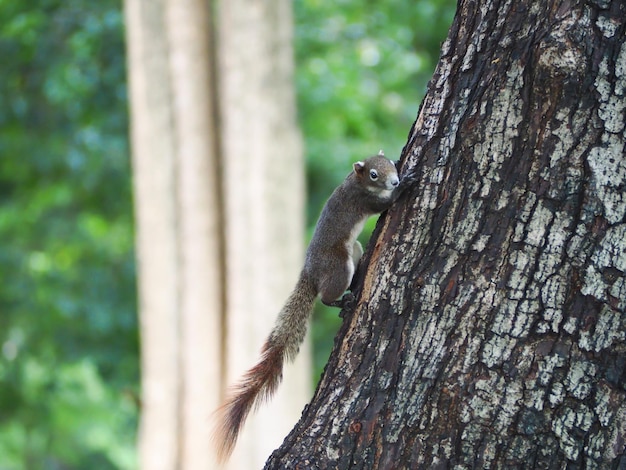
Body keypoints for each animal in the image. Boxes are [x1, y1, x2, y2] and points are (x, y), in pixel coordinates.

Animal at [212, 151, 412, 462]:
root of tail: (311, 273)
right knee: (326, 297)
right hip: (339, 266)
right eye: (374, 175)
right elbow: (386, 204)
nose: (394, 180)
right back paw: (344, 300)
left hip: (353, 252)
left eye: (390, 162)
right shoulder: (365, 201)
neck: (356, 182)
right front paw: (403, 188)